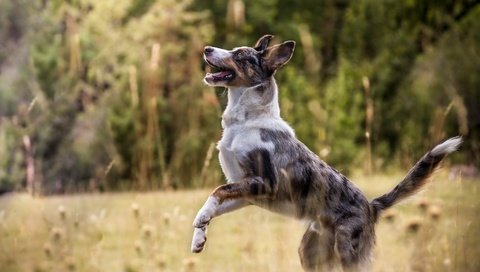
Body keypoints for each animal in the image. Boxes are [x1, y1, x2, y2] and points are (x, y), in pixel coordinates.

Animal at [190, 35, 462, 270]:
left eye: (238, 55)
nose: (206, 48)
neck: (246, 121)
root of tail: (371, 207)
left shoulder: (265, 183)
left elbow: (217, 190)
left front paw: (200, 221)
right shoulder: (245, 190)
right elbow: (216, 199)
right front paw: (199, 235)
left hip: (348, 253)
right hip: (310, 253)